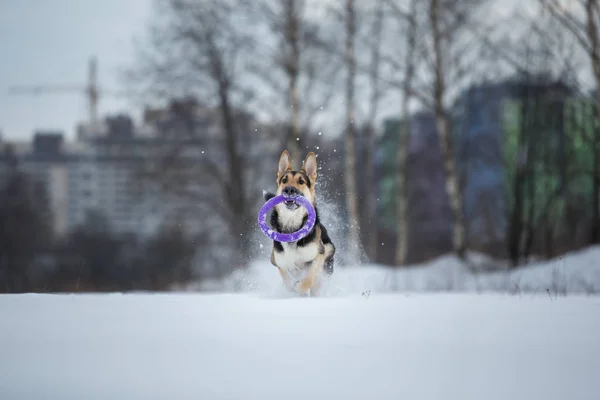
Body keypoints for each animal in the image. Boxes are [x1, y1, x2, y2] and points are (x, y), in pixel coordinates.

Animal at [264, 150, 336, 296]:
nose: (289, 190)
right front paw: (292, 290)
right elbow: (287, 282)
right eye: (284, 180)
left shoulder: (318, 257)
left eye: (301, 181)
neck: (292, 227)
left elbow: (308, 280)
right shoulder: (281, 264)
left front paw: (299, 287)